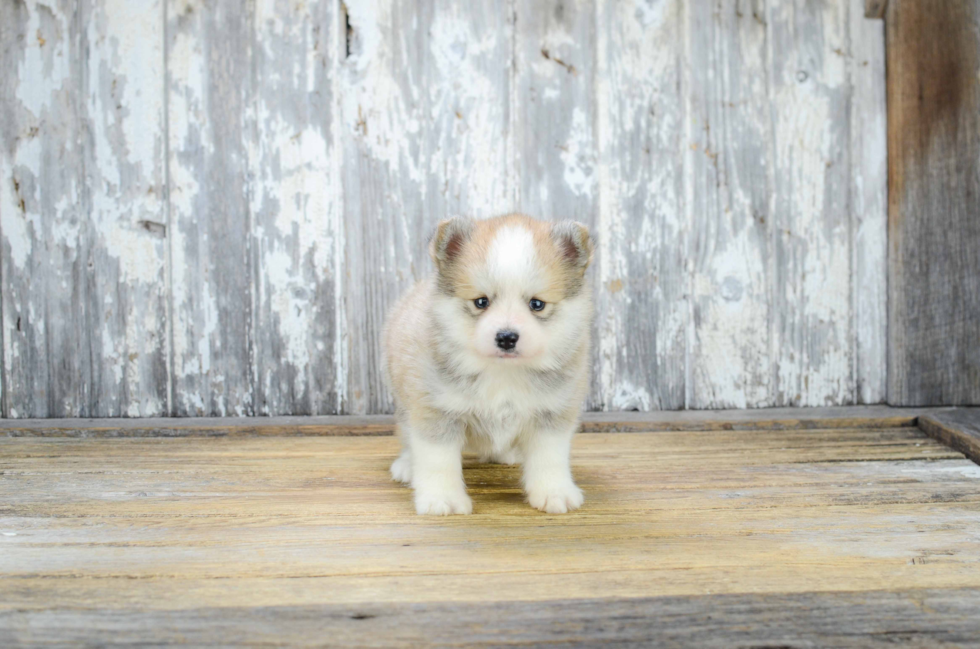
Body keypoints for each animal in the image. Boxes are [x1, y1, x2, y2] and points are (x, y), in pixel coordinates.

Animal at [384, 215, 592, 512]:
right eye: (481, 302)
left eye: (537, 304)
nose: (506, 337)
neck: (503, 372)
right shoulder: (436, 412)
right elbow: (438, 462)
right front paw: (442, 498)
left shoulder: (552, 415)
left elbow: (549, 459)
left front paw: (554, 492)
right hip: (404, 405)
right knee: (406, 436)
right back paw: (406, 465)